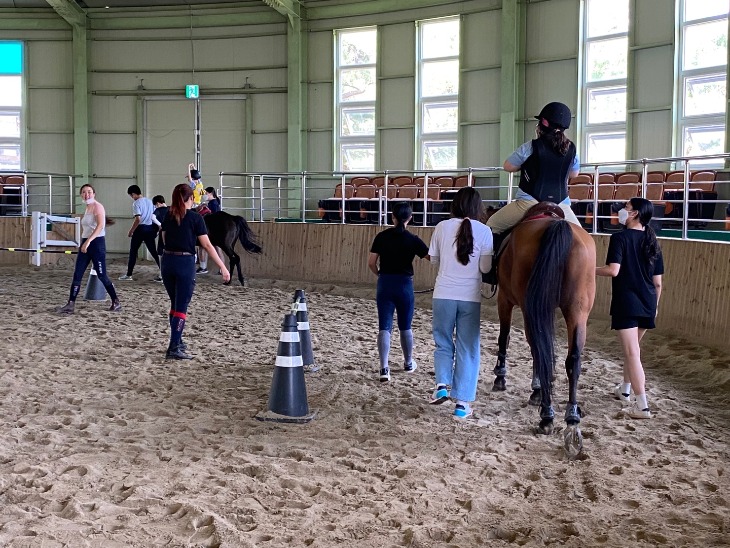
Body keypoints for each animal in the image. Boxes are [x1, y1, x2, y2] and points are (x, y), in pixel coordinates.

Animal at [492, 203, 596, 456]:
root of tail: (557, 226)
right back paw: (572, 421)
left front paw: (501, 377)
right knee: (573, 359)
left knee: (539, 350)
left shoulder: (504, 299)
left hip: (531, 307)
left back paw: (547, 417)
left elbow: (504, 337)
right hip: (578, 311)